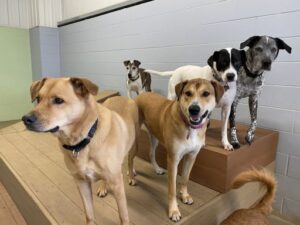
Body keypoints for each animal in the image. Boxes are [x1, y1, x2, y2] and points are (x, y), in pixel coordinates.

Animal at [22, 76, 139, 224]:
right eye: (38, 98)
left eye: (58, 100)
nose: (25, 119)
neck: (83, 141)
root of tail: (124, 97)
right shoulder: (81, 183)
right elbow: (89, 214)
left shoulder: (117, 185)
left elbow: (123, 216)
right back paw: (103, 187)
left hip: (134, 146)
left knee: (130, 161)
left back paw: (131, 176)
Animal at [132, 78, 225, 221]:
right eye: (187, 93)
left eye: (206, 93)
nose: (194, 109)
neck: (189, 127)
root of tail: (141, 95)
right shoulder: (173, 159)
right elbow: (172, 188)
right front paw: (174, 210)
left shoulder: (191, 156)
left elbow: (185, 178)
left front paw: (184, 195)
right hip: (134, 138)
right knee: (128, 158)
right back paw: (131, 175)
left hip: (154, 136)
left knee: (151, 153)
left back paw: (157, 169)